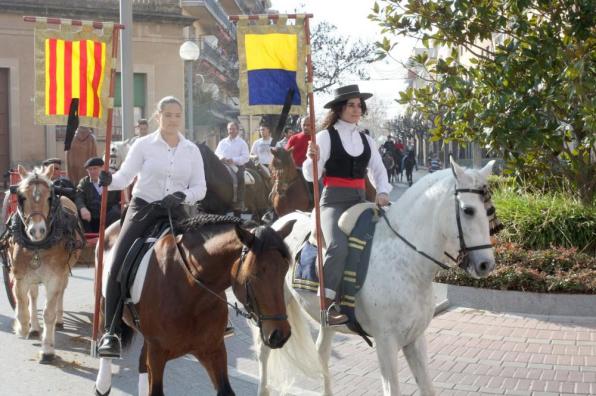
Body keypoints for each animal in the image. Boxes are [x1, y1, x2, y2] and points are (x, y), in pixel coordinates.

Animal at [3, 166, 82, 364]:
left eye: (49, 198)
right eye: (22, 197)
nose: (36, 231)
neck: (38, 247)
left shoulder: (54, 278)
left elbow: (48, 313)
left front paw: (47, 350)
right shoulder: (20, 277)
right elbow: (22, 305)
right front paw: (23, 327)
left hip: (63, 272)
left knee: (61, 293)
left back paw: (60, 320)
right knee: (33, 297)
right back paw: (33, 327)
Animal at [95, 213, 296, 396]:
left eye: (285, 269)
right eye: (254, 274)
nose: (280, 335)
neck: (191, 291)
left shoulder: (213, 349)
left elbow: (226, 390)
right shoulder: (157, 353)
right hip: (106, 310)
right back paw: (103, 380)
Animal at [260, 159, 498, 396]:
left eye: (489, 210)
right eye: (468, 210)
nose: (486, 264)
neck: (406, 263)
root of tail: (280, 221)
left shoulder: (415, 339)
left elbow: (427, 388)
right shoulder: (386, 343)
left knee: (322, 353)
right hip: (274, 308)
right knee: (265, 351)